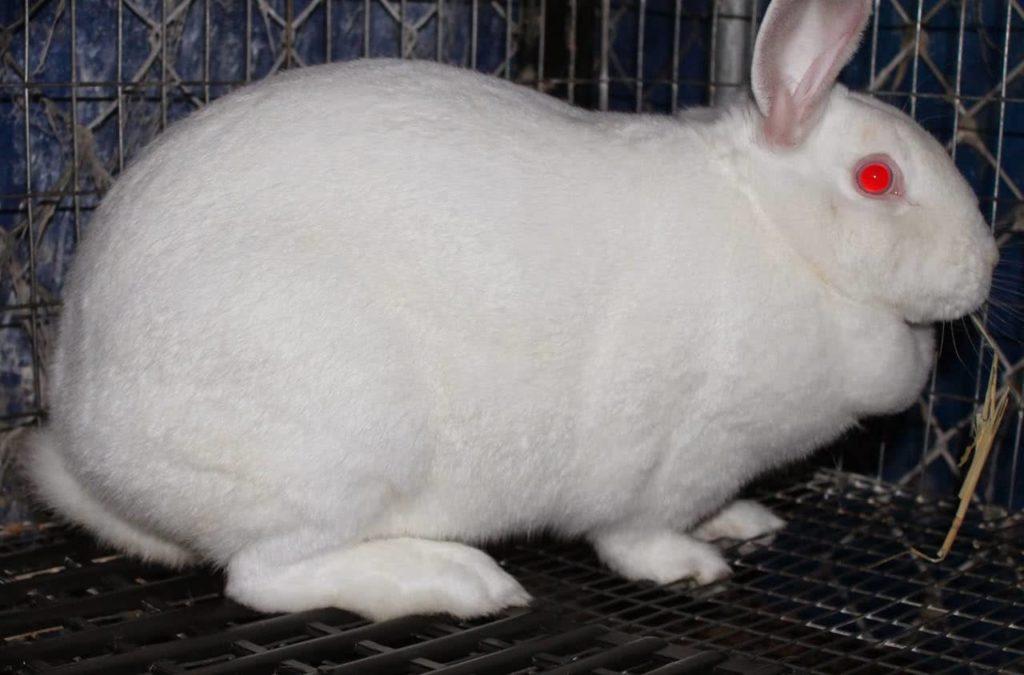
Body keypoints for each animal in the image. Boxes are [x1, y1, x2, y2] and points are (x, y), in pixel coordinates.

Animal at [23, 0, 997, 621]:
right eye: (879, 178)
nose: (984, 267)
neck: (778, 233)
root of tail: (83, 441)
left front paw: (742, 522)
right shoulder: (671, 457)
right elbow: (636, 536)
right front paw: (693, 564)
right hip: (336, 439)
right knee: (265, 576)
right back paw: (462, 582)